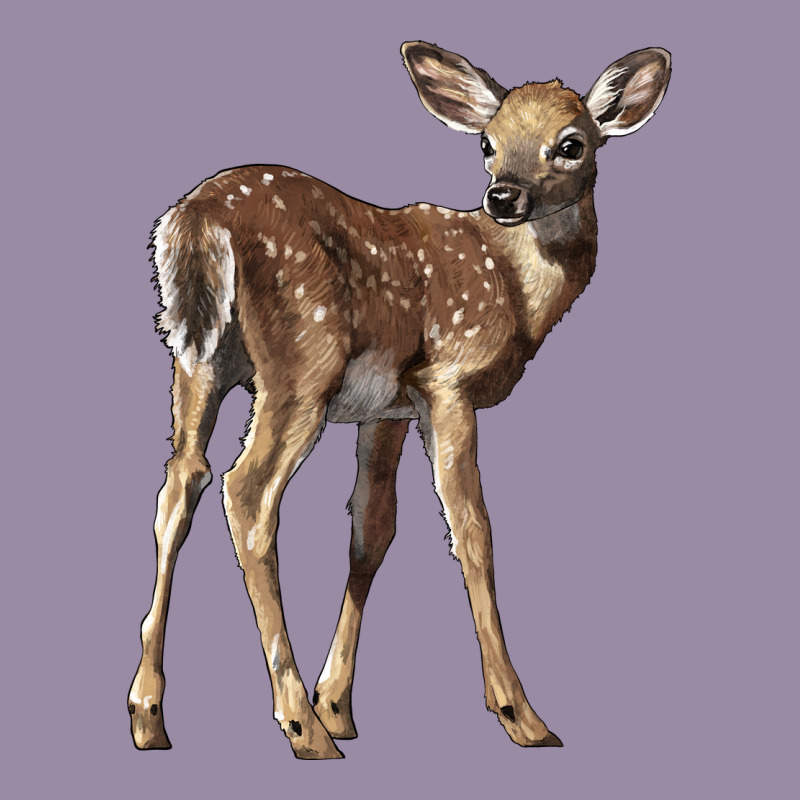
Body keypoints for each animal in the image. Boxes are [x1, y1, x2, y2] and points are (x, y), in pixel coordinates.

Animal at [128, 41, 671, 759]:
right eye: (487, 143)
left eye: (571, 144)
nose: (503, 196)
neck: (515, 290)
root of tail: (196, 219)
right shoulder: (448, 379)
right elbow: (473, 531)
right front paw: (520, 716)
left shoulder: (388, 407)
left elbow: (372, 529)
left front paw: (339, 706)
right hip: (303, 360)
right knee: (246, 491)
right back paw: (299, 729)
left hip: (197, 358)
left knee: (180, 482)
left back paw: (149, 715)